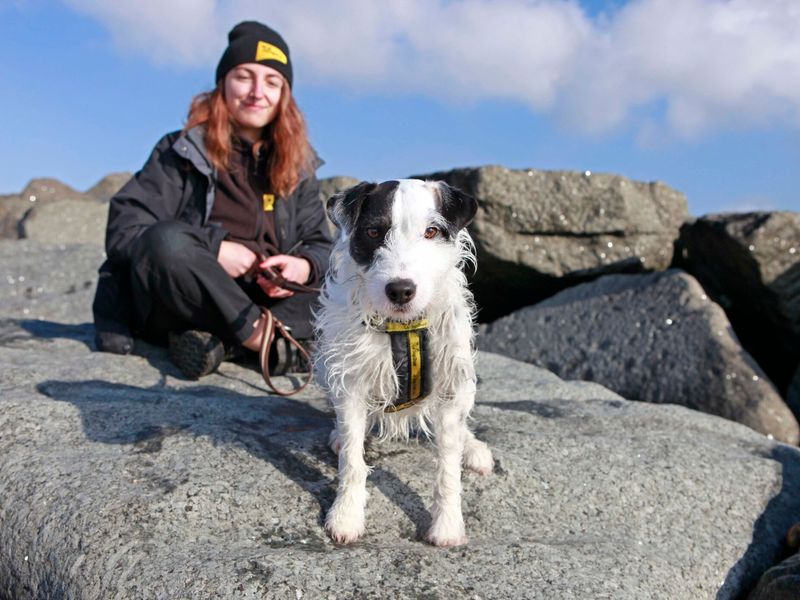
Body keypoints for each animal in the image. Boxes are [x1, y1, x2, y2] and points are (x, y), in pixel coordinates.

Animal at [314, 179, 494, 548]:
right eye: (372, 231)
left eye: (431, 231)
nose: (400, 290)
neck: (404, 326)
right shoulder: (351, 382)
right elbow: (352, 459)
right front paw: (346, 515)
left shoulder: (450, 385)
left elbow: (447, 466)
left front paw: (447, 524)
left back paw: (473, 448)